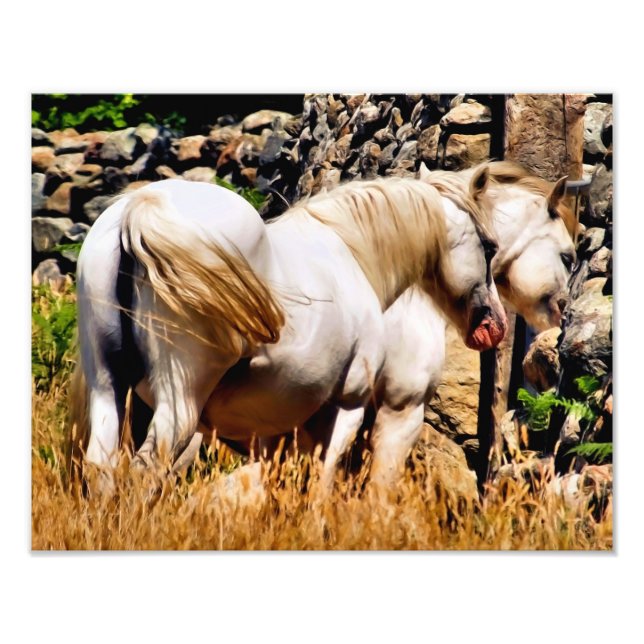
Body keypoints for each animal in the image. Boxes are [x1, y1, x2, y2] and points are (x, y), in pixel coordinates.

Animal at [70, 167, 507, 489]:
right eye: (489, 247)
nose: (495, 325)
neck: (353, 255)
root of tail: (138, 207)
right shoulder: (357, 408)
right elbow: (328, 484)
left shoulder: (276, 430)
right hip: (180, 403)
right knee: (146, 469)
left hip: (109, 388)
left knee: (103, 467)